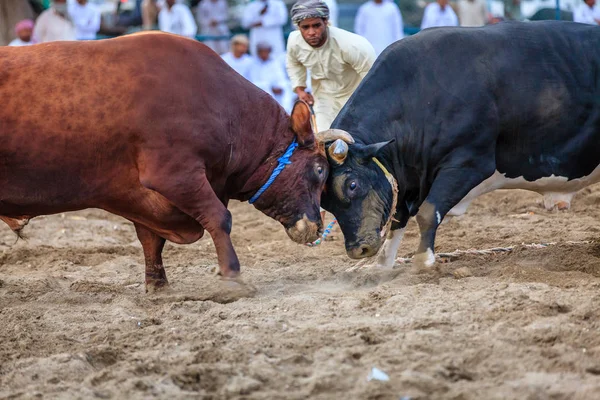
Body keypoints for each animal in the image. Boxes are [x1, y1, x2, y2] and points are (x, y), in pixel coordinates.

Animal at [0, 32, 336, 290]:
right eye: (319, 170)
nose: (317, 227)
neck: (223, 106)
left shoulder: (140, 194)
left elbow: (151, 239)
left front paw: (158, 284)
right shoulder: (175, 175)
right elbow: (219, 218)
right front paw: (232, 275)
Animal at [318, 19, 600, 268]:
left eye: (352, 185)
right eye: (324, 202)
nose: (358, 249)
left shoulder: (469, 163)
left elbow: (428, 212)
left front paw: (424, 261)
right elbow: (398, 218)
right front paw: (382, 266)